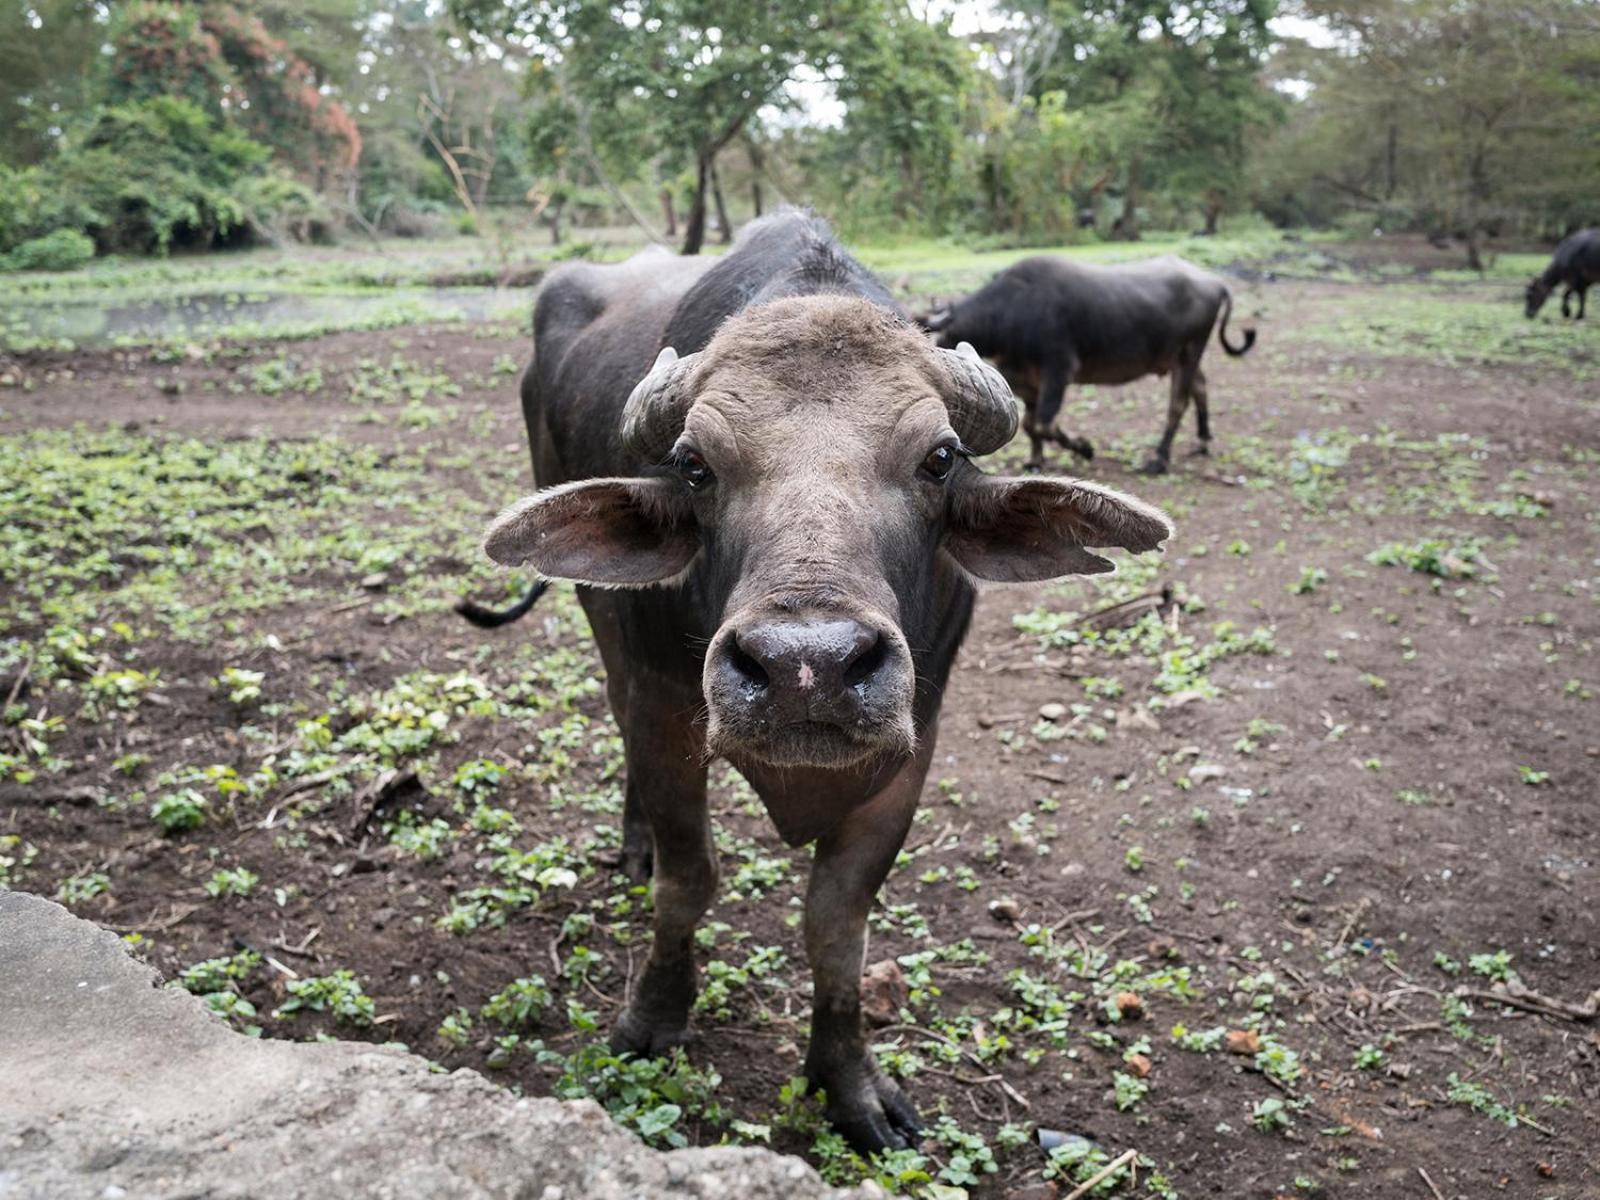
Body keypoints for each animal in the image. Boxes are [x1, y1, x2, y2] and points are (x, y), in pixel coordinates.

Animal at [467, 209, 1171, 1158]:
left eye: (939, 458)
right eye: (695, 465)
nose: (810, 667)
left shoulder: (911, 747)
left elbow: (837, 923)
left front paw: (849, 1082)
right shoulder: (666, 713)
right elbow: (688, 880)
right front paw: (654, 1018)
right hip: (600, 619)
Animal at [921, 254, 1254, 473]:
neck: (1012, 312)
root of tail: (1214, 282)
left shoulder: (1059, 370)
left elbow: (1044, 423)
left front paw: (1085, 448)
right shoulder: (1025, 379)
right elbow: (1030, 425)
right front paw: (1035, 461)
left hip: (1189, 353)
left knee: (1178, 403)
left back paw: (1159, 458)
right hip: (1182, 358)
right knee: (1201, 387)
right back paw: (1203, 440)